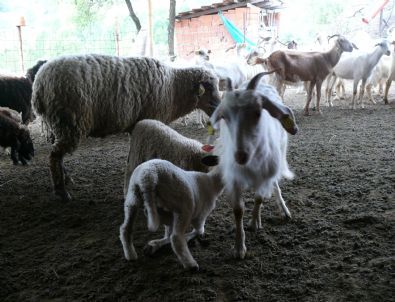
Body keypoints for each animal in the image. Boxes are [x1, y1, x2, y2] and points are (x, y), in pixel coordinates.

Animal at [32, 54, 221, 202]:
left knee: (57, 154)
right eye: (209, 88)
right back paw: (61, 191)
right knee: (54, 156)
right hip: (70, 123)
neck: (174, 87)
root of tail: (39, 84)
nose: (220, 108)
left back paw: (66, 179)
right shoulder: (151, 120)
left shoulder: (137, 126)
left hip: (58, 125)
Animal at [210, 72, 296, 258]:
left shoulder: (266, 175)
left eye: (258, 112)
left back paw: (284, 210)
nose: (240, 155)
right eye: (224, 117)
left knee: (275, 185)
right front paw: (239, 247)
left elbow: (259, 198)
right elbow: (238, 209)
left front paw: (255, 222)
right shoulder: (234, 177)